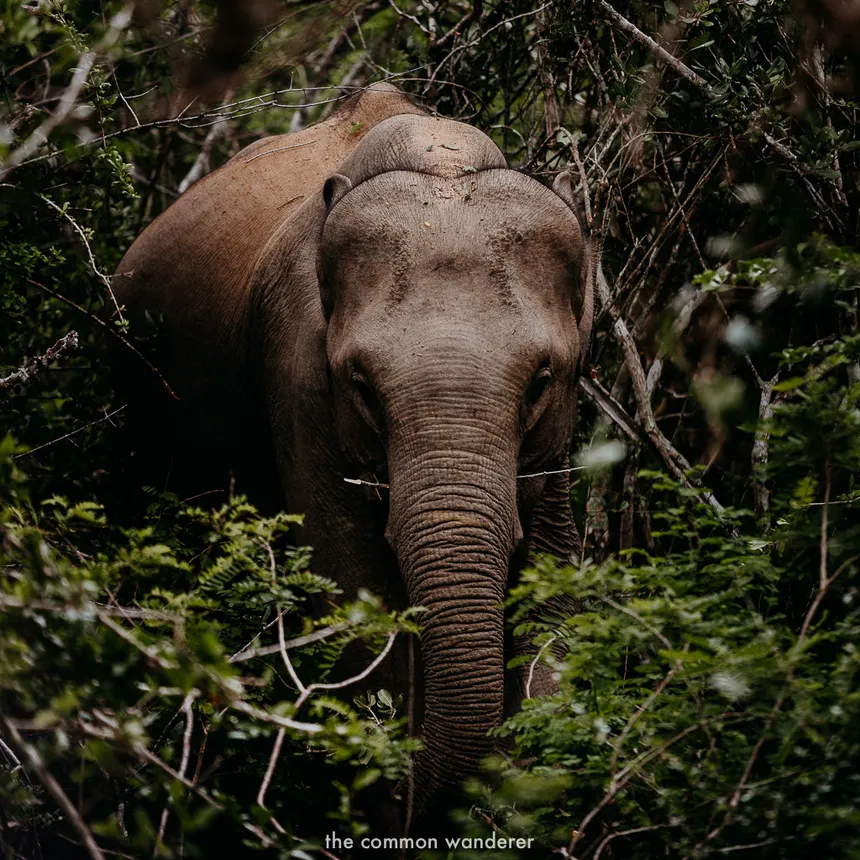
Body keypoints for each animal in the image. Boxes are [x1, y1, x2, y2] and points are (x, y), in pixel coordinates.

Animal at [114, 82, 594, 835]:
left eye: (542, 379)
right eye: (362, 384)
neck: (442, 164)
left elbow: (551, 586)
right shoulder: (297, 369)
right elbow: (352, 588)